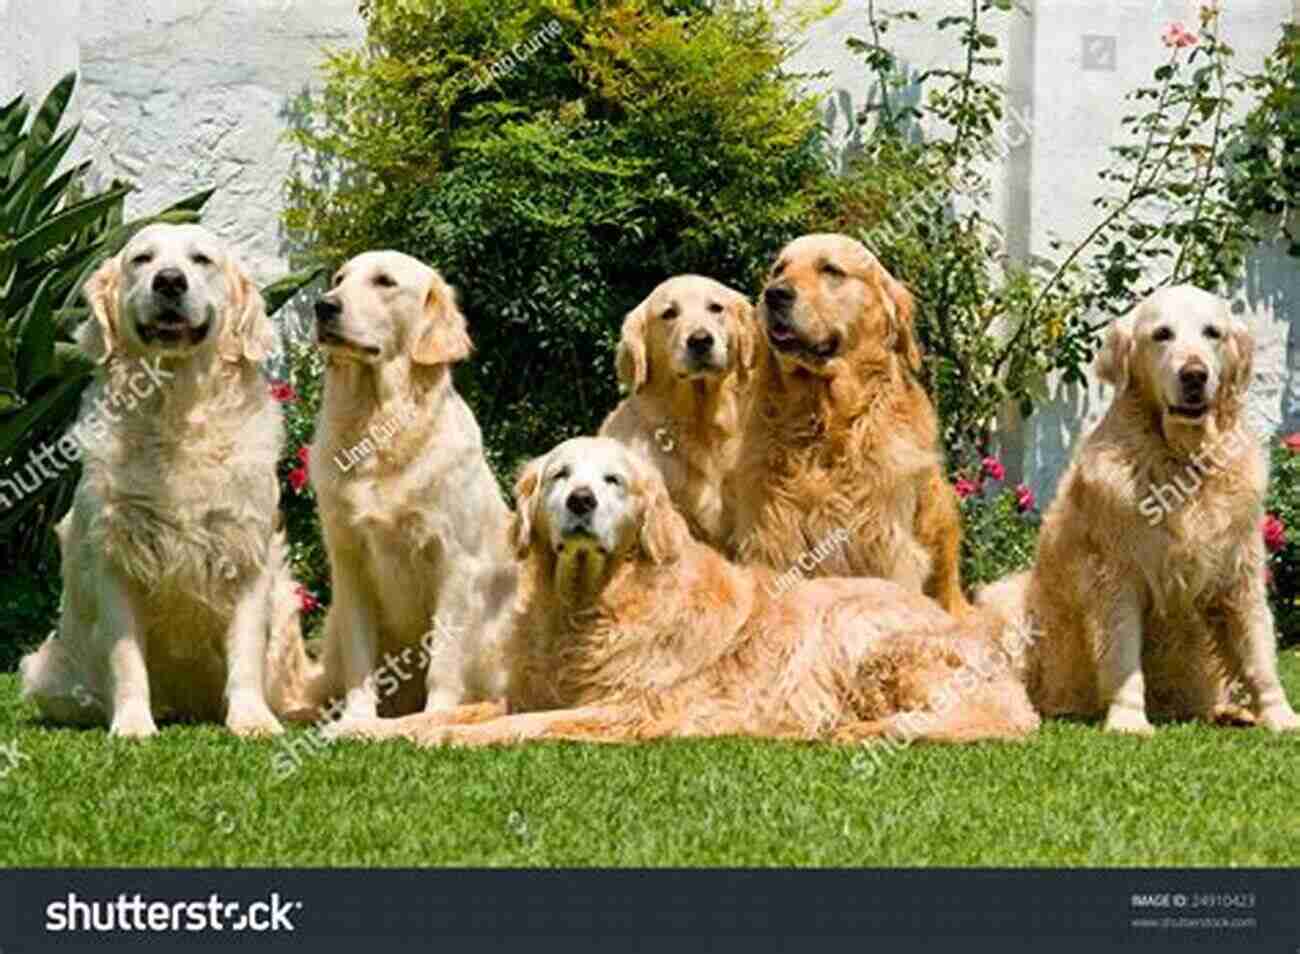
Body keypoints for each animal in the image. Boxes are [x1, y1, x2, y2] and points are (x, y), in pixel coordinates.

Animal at [19, 223, 312, 738]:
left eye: (201, 260)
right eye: (143, 259)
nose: (170, 281)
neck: (177, 407)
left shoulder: (246, 552)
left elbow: (246, 649)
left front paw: (252, 720)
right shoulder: (115, 555)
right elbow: (125, 657)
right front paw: (133, 724)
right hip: (45, 670)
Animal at [310, 250, 517, 727]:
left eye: (384, 282)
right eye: (339, 279)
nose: (323, 306)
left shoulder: (454, 561)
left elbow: (443, 657)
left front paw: (436, 716)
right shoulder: (349, 562)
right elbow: (360, 659)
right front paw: (358, 722)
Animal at [982, 287, 1300, 738]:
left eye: (1212, 333)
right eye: (1162, 334)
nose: (1194, 375)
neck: (1182, 460)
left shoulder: (1240, 571)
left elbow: (1258, 654)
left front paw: (1280, 716)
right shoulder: (1117, 574)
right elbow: (1123, 655)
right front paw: (1128, 720)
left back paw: (1231, 711)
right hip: (1007, 600)